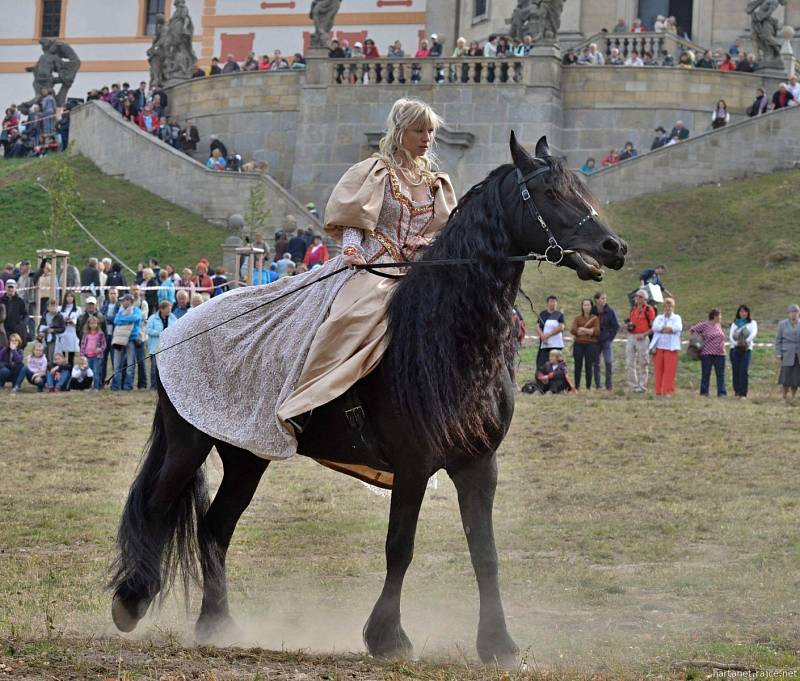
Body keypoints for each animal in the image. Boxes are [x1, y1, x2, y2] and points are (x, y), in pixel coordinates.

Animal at [109, 134, 628, 664]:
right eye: (550, 191)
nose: (615, 248)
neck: (442, 331)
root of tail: (179, 327)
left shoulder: (478, 465)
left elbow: (485, 552)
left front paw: (497, 643)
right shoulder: (415, 464)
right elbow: (400, 546)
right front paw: (388, 637)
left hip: (247, 454)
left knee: (215, 529)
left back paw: (217, 626)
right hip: (188, 444)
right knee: (155, 507)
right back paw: (131, 602)